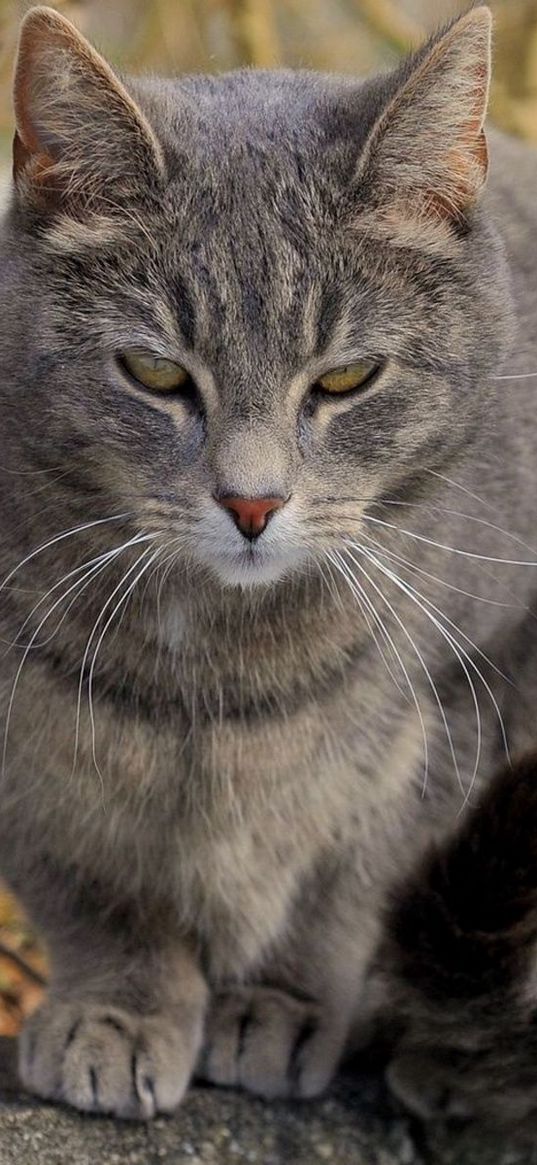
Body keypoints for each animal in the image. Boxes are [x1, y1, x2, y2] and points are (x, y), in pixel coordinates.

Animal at [1, 0, 535, 1127]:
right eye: (154, 372)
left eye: (346, 378)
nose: (251, 502)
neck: (221, 668)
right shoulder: (31, 729)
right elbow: (91, 885)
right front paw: (117, 1006)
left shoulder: (469, 690)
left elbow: (353, 880)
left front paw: (283, 999)